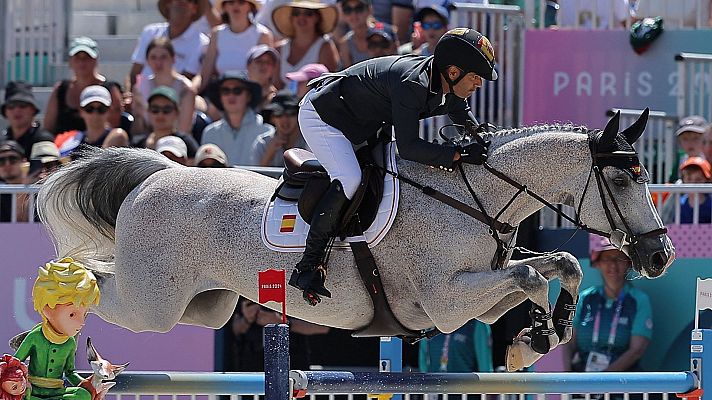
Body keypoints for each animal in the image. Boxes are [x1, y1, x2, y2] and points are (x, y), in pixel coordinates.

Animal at [37, 110, 672, 372]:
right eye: (623, 179)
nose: (659, 255)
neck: (473, 195)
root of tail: (159, 173)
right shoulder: (446, 302)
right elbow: (531, 274)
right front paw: (537, 336)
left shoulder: (470, 301)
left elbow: (560, 262)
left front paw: (538, 338)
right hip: (152, 302)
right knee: (99, 282)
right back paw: (58, 311)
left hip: (205, 305)